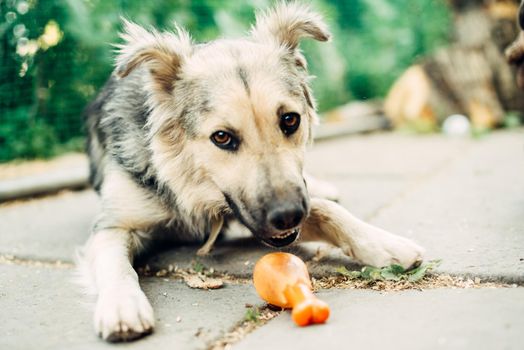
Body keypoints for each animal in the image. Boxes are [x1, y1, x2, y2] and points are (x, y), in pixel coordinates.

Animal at [81, 2, 426, 342]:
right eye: (222, 137)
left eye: (290, 120)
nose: (288, 216)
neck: (185, 182)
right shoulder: (113, 226)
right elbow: (116, 264)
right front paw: (122, 304)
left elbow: (325, 210)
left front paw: (385, 243)